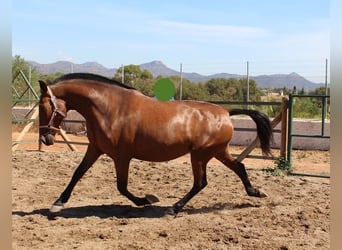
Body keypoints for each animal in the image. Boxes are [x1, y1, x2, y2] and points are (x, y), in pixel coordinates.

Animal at [38, 72, 272, 215]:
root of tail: (225, 111)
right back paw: (256, 192)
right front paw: (58, 203)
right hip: (217, 152)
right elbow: (77, 173)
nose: (45, 139)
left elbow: (121, 186)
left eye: (42, 107)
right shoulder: (95, 149)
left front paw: (147, 199)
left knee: (200, 183)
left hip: (200, 155)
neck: (109, 108)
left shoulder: (122, 156)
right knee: (239, 167)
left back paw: (173, 209)